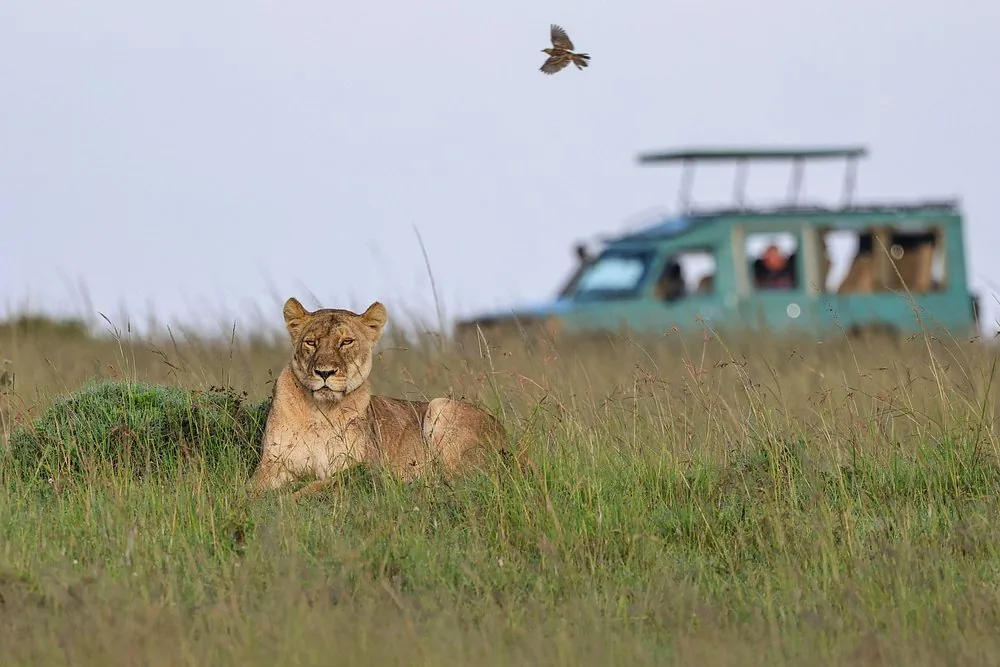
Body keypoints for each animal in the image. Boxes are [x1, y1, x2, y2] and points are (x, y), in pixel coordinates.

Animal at [246, 297, 513, 498]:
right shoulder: (273, 465)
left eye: (346, 341)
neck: (319, 413)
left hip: (442, 408)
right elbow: (249, 490)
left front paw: (286, 499)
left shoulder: (362, 466)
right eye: (311, 342)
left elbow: (320, 485)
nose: (324, 372)